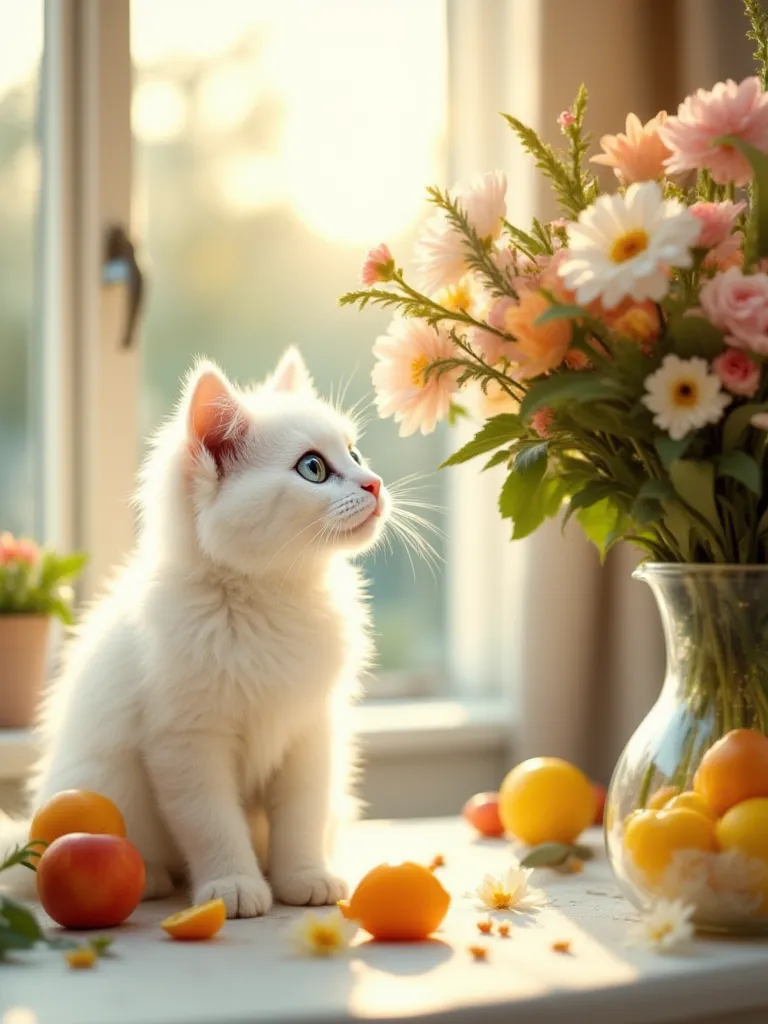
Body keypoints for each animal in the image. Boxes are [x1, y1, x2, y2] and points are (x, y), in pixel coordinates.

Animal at [0, 352, 385, 921]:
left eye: (355, 453)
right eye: (313, 468)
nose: (374, 483)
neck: (272, 601)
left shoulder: (310, 731)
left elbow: (302, 816)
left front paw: (303, 876)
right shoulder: (186, 741)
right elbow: (211, 824)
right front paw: (233, 885)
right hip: (99, 780)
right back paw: (154, 877)